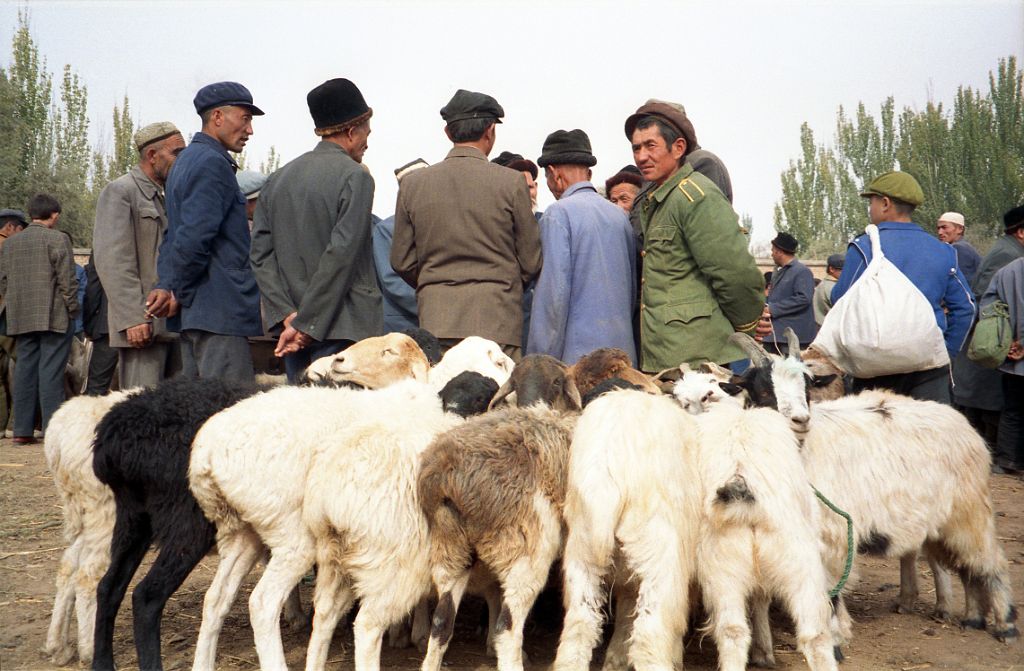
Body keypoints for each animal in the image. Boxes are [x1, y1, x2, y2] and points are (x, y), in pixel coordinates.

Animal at [41, 389, 135, 667]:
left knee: (68, 567)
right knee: (87, 577)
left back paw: (58, 645)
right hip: (107, 513)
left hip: (87, 514)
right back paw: (91, 651)